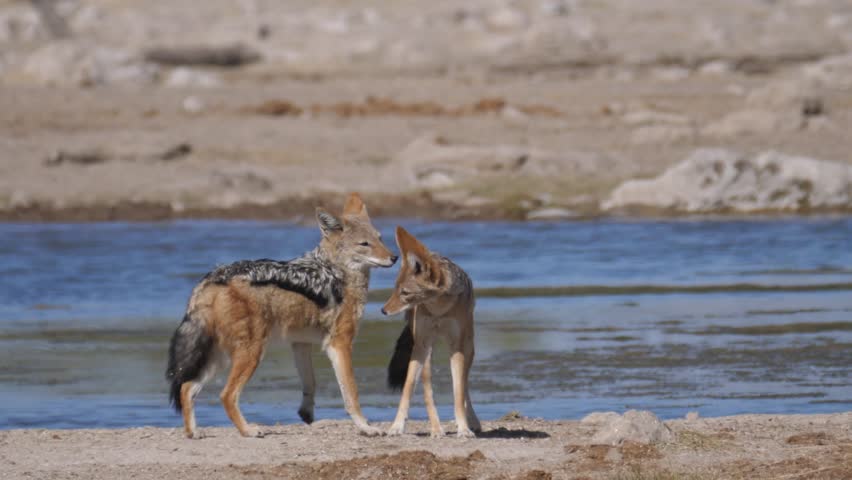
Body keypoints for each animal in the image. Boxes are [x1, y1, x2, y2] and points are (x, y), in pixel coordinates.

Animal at [165, 193, 397, 439]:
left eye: (380, 239)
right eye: (365, 244)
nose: (394, 257)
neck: (337, 272)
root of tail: (212, 279)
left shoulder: (301, 344)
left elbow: (310, 384)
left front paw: (306, 414)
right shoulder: (339, 344)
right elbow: (351, 393)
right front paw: (367, 427)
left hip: (220, 357)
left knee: (186, 388)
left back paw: (193, 432)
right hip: (251, 353)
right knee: (226, 395)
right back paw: (248, 430)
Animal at [381, 226, 481, 438]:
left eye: (405, 293)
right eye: (395, 288)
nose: (383, 310)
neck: (439, 309)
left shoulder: (456, 347)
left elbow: (458, 392)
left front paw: (464, 428)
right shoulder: (422, 344)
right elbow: (412, 390)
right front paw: (398, 426)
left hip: (468, 349)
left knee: (465, 386)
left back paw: (473, 421)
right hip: (424, 352)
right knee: (423, 389)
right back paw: (433, 428)